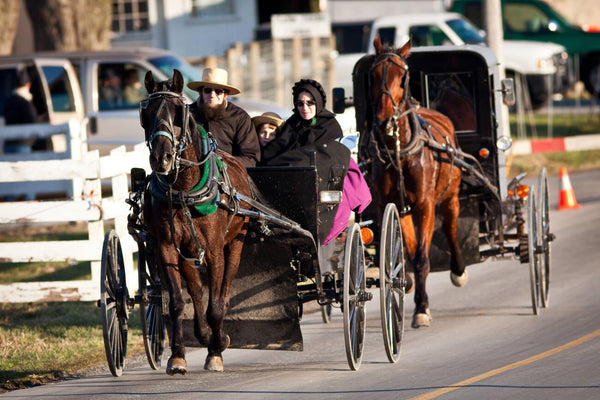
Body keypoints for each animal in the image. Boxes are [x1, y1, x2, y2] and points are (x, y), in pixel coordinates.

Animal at [139, 69, 251, 376]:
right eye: (146, 112)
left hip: (236, 243)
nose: (161, 158)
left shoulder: (213, 251)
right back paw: (203, 334)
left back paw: (217, 338)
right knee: (198, 292)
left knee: (223, 294)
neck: (183, 189)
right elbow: (178, 303)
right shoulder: (166, 247)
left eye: (179, 112)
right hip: (188, 251)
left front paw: (216, 351)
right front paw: (177, 357)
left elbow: (216, 305)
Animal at [366, 36, 468, 328]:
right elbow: (406, 250)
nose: (384, 121)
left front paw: (422, 308)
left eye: (402, 76)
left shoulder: (425, 204)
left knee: (450, 227)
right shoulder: (392, 205)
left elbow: (422, 257)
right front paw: (406, 281)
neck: (399, 151)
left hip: (450, 196)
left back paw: (458, 269)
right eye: (373, 75)